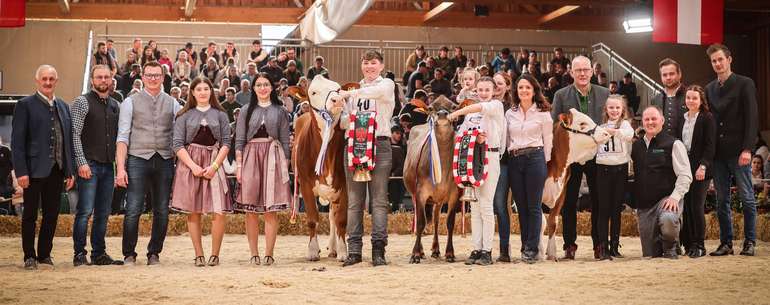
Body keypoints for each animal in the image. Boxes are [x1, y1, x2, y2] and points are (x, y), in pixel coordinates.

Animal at [290, 75, 358, 260]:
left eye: (338, 89)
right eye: (313, 92)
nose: (337, 100)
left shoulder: (344, 185)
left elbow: (341, 219)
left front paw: (343, 251)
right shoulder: (306, 185)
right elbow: (312, 219)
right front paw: (313, 251)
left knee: (333, 217)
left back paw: (333, 248)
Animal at [402, 96, 462, 262]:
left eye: (453, 107)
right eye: (430, 108)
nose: (442, 114)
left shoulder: (454, 194)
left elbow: (449, 222)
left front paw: (450, 253)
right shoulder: (421, 192)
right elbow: (421, 223)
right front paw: (416, 254)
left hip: (439, 199)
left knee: (435, 218)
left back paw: (435, 249)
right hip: (414, 193)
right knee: (419, 217)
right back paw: (422, 251)